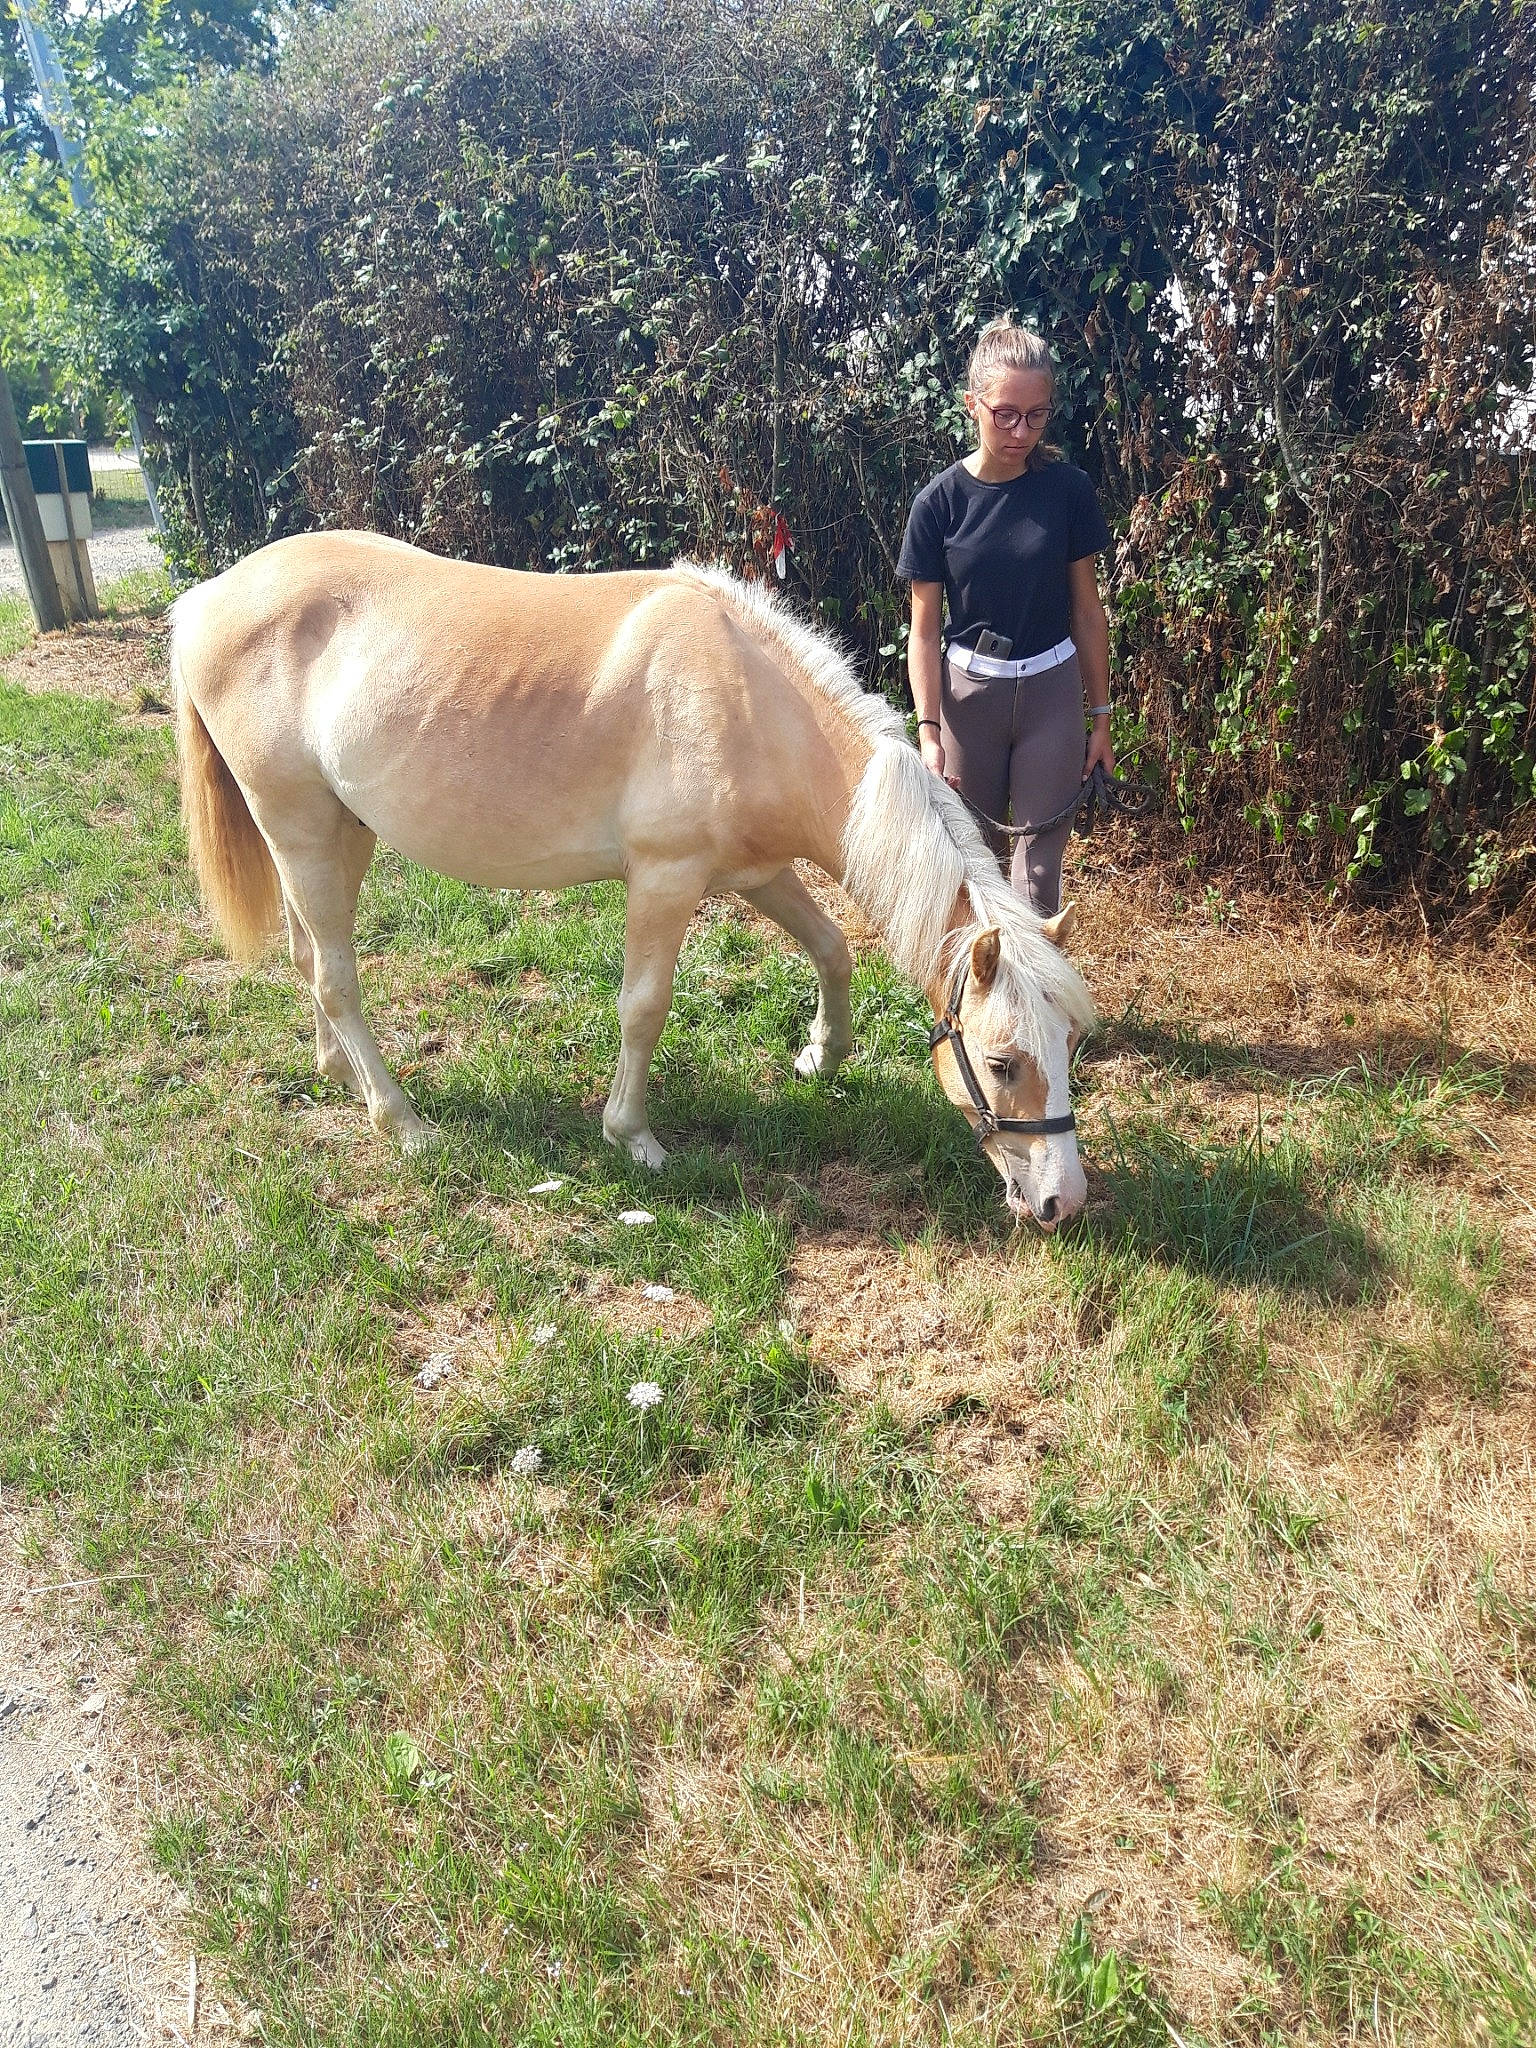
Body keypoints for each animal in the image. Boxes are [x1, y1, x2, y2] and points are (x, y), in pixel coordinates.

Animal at [171, 532, 1096, 1227]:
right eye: (1005, 1063)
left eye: (1072, 1045)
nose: (1063, 1201)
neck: (746, 700)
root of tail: (206, 598)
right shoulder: (665, 878)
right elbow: (643, 1008)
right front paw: (632, 1137)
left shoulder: (757, 872)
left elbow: (833, 949)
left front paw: (818, 1057)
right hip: (297, 829)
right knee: (336, 979)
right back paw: (402, 1121)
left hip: (336, 834)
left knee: (308, 962)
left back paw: (337, 1074)